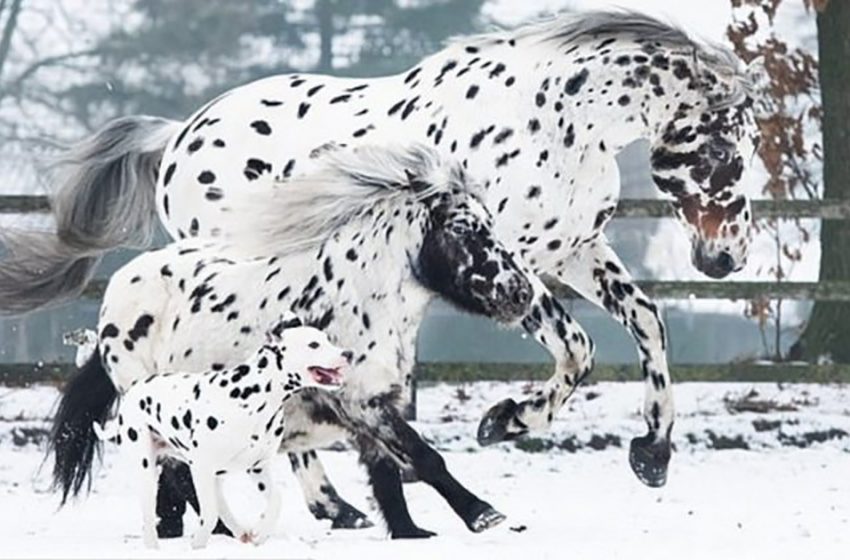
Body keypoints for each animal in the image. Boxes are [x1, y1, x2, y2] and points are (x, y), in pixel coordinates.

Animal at [93, 318, 344, 548]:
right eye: (313, 344)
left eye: (326, 339)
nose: (347, 355)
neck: (253, 396)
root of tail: (135, 389)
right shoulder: (200, 468)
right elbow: (210, 514)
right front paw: (198, 544)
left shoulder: (257, 468)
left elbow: (276, 501)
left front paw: (260, 532)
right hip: (147, 471)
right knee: (150, 518)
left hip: (214, 475)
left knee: (220, 504)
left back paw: (240, 530)